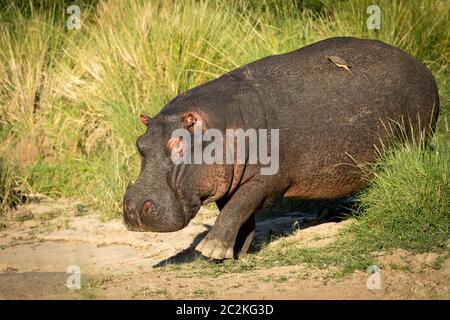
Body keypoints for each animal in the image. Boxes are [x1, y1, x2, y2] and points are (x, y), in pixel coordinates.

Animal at [122, 36, 440, 260]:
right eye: (139, 143)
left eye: (178, 144)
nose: (134, 208)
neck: (219, 124)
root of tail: (422, 66)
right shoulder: (231, 179)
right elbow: (238, 213)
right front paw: (237, 252)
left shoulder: (265, 181)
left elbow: (236, 208)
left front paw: (209, 250)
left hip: (417, 141)